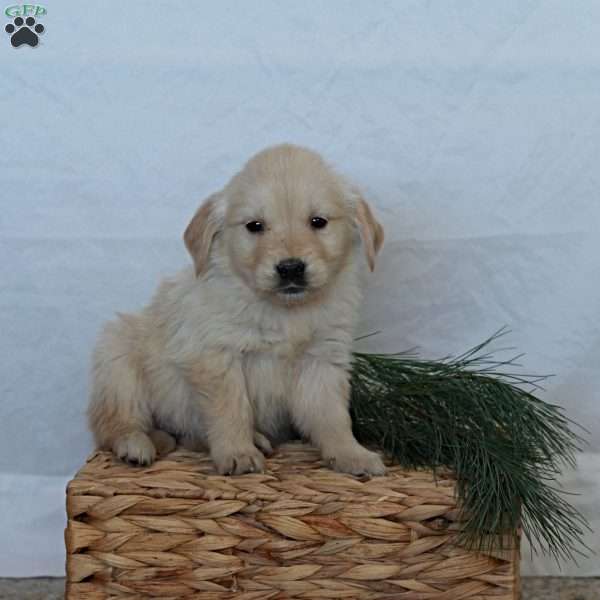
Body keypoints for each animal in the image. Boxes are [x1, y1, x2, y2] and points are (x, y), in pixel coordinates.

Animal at [88, 143, 384, 476]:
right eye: (255, 226)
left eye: (318, 222)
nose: (290, 268)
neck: (283, 311)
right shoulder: (216, 356)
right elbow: (231, 410)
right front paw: (238, 453)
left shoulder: (322, 360)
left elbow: (333, 417)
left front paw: (352, 455)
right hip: (117, 358)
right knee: (113, 422)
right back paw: (135, 445)